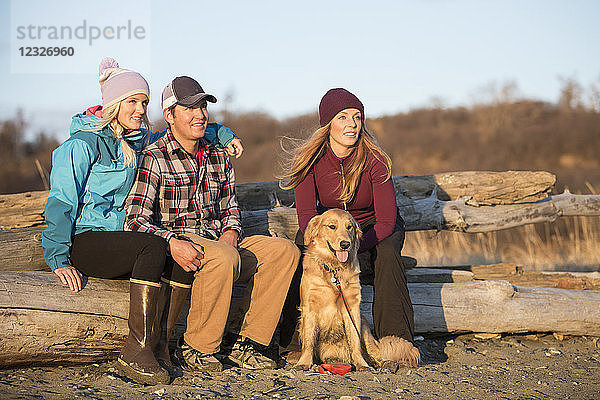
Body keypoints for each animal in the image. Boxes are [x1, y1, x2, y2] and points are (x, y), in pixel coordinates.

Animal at [294, 209, 418, 372]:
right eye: (332, 226)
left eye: (349, 227)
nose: (345, 244)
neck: (334, 269)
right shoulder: (309, 306)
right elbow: (309, 339)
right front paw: (304, 362)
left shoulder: (352, 308)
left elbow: (355, 341)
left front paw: (361, 364)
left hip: (365, 329)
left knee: (375, 354)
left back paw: (385, 363)